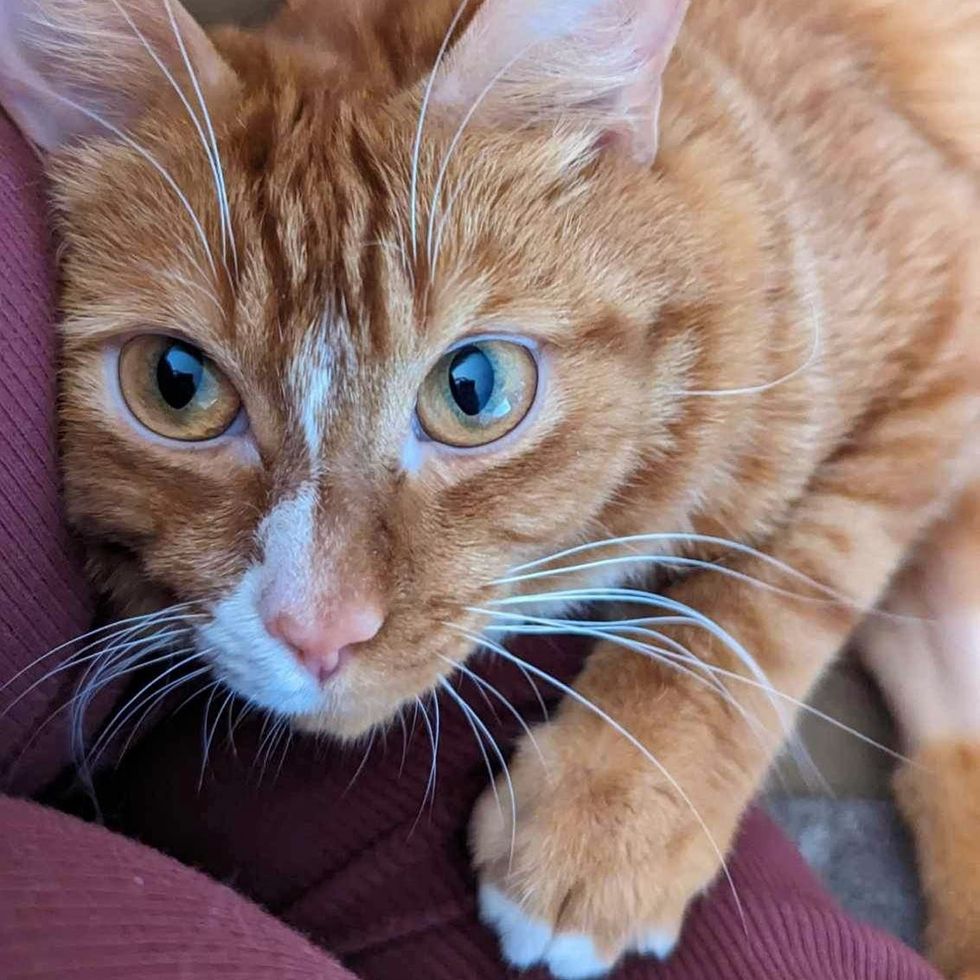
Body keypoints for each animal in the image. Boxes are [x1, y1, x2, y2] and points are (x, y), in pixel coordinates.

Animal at [1, 0, 980, 976]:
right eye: (176, 384)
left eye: (472, 389)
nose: (319, 632)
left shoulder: (949, 330)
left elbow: (770, 598)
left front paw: (617, 806)